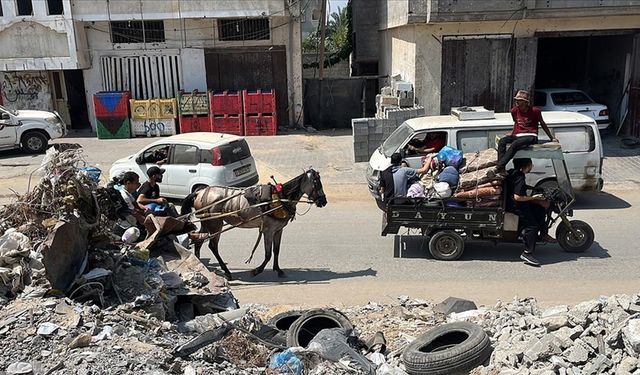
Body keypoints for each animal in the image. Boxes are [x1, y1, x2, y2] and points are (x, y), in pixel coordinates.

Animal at [181, 169, 328, 280]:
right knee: (212, 245)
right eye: (317, 183)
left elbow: (276, 250)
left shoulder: (278, 230)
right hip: (215, 224)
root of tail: (200, 192)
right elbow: (268, 254)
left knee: (198, 241)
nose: (324, 201)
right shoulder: (268, 231)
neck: (281, 198)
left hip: (207, 223)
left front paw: (278, 270)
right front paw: (256, 270)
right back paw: (226, 272)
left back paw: (201, 266)